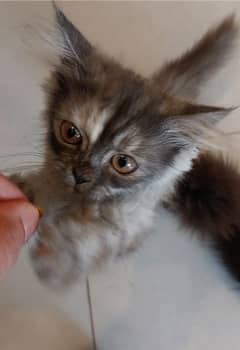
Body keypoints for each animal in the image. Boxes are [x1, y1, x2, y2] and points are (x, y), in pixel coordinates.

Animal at [13, 6, 240, 288]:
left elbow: (102, 235)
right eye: (71, 133)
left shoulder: (133, 221)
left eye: (123, 163)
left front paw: (62, 254)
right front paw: (26, 189)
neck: (79, 199)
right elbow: (47, 184)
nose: (80, 175)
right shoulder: (54, 169)